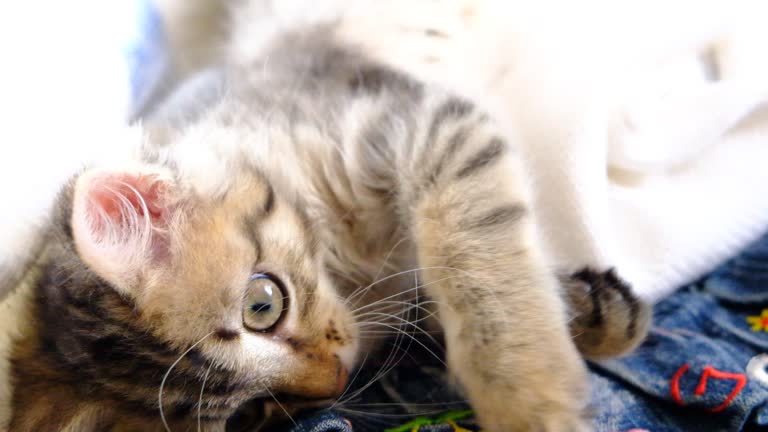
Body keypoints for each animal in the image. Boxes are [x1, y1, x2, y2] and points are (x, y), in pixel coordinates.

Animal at [1, 5, 648, 432]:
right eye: (251, 414)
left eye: (263, 305)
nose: (334, 381)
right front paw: (596, 314)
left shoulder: (415, 122)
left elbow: (476, 270)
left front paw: (529, 400)